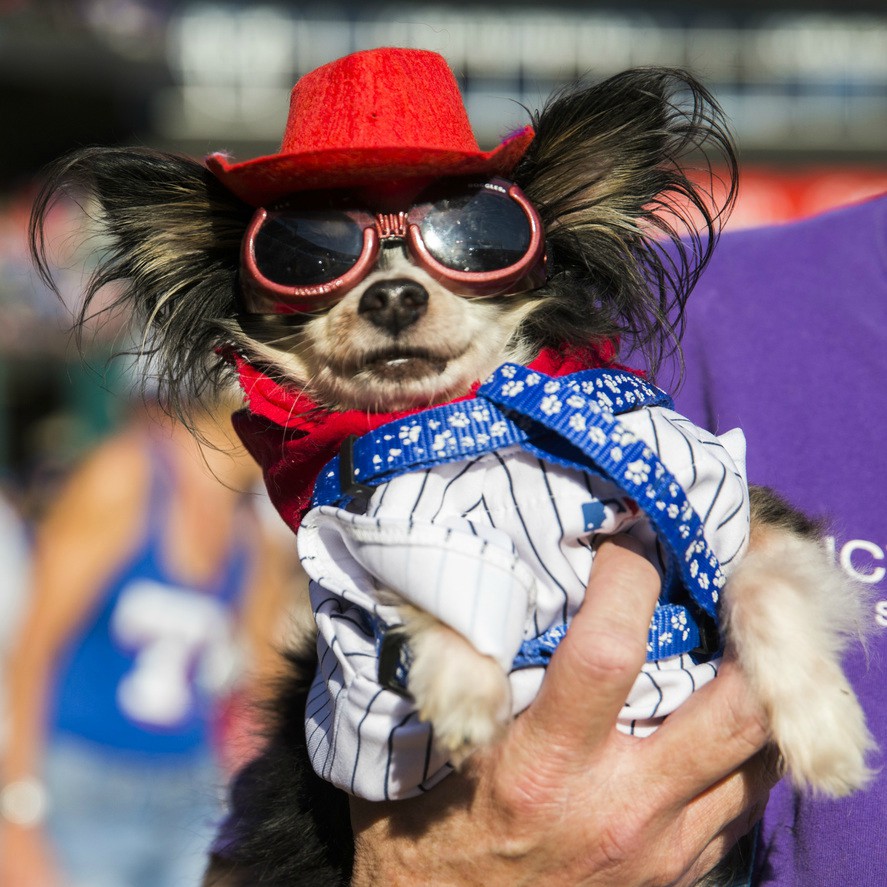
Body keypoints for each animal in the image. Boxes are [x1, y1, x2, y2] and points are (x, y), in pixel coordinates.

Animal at [29, 46, 876, 887]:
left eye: (473, 241)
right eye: (309, 256)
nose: (393, 294)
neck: (464, 423)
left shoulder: (719, 500)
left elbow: (765, 586)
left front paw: (825, 729)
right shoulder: (354, 535)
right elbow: (427, 572)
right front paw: (466, 682)